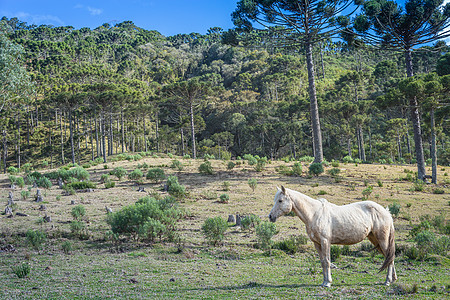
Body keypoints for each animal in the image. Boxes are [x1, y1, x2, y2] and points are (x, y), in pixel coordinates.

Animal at [268, 186, 396, 288]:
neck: (315, 214)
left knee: (389, 258)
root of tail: (386, 212)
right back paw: (393, 279)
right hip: (375, 240)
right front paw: (324, 281)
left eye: (280, 200)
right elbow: (322, 262)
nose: (270, 216)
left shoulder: (325, 242)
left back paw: (387, 281)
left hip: (382, 240)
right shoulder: (317, 243)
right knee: (389, 258)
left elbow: (327, 261)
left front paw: (328, 283)